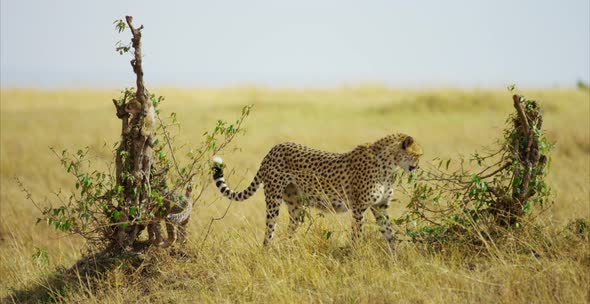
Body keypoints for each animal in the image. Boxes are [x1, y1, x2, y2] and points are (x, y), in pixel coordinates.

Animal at [215, 134, 424, 252]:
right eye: (417, 155)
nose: (416, 168)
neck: (389, 163)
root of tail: (275, 148)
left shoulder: (380, 206)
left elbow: (390, 234)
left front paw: (395, 259)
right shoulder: (359, 208)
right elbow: (357, 236)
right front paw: (357, 257)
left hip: (295, 205)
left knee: (290, 230)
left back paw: (289, 253)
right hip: (273, 200)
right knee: (269, 233)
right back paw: (267, 254)